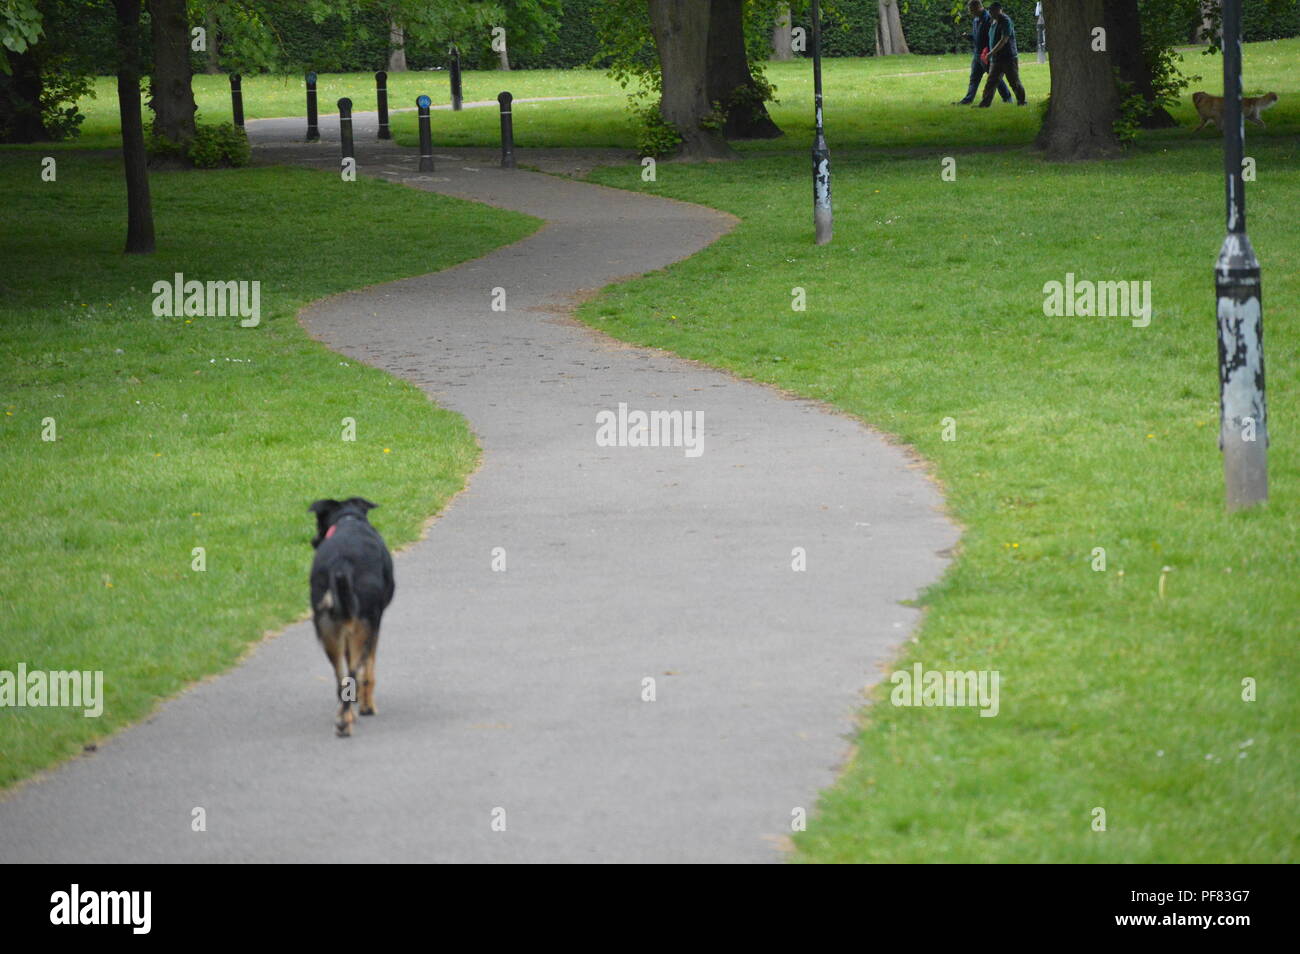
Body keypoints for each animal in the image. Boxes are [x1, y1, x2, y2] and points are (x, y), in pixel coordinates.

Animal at [306, 501, 392, 738]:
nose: (313, 541)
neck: (348, 520)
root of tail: (341, 563)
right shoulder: (373, 625)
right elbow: (368, 673)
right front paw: (367, 706)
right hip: (364, 627)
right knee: (355, 674)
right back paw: (350, 720)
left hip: (329, 632)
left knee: (341, 682)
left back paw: (345, 719)